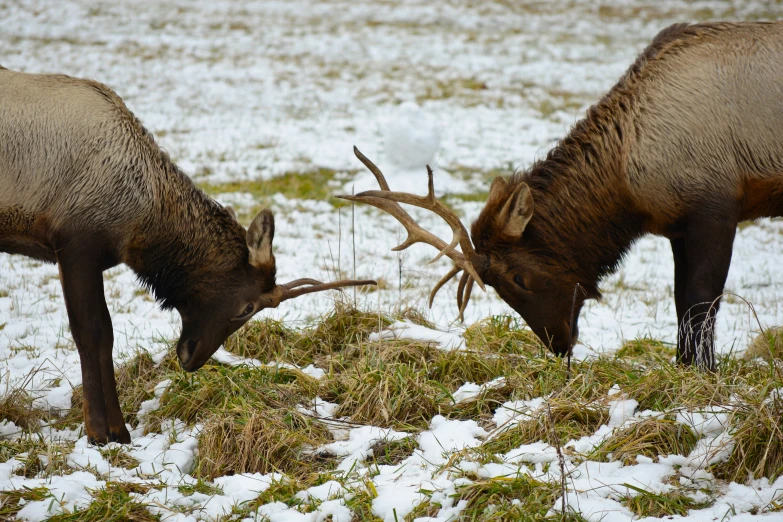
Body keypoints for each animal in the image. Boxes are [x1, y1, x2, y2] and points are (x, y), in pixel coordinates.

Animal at [0, 66, 374, 442]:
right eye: (248, 307)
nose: (192, 357)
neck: (140, 223)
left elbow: (106, 334)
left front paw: (118, 430)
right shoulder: (76, 243)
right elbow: (92, 334)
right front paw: (101, 432)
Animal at [344, 21, 783, 370]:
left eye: (518, 277)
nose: (559, 345)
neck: (629, 183)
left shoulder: (716, 208)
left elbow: (701, 301)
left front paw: (704, 372)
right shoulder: (677, 224)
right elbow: (681, 303)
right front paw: (684, 365)